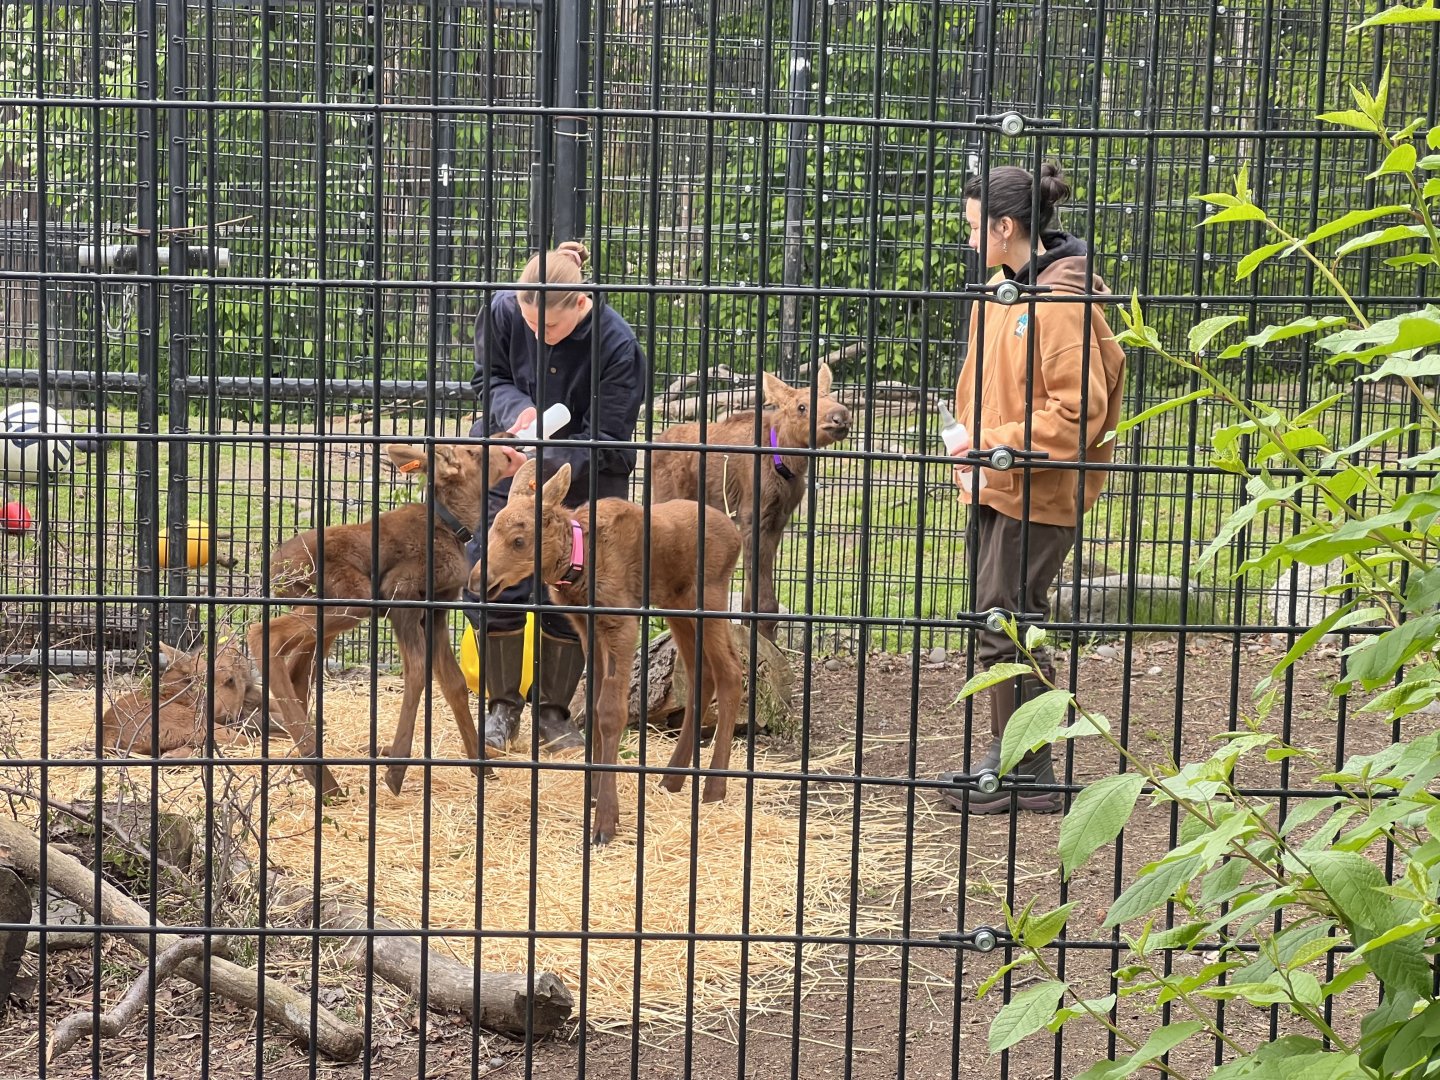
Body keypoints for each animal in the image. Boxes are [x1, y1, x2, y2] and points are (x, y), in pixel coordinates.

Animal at [101, 638, 263, 757]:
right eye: (197, 682)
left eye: (230, 679)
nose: (222, 717)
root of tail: (109, 736)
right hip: (192, 723)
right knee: (246, 740)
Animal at [248, 442, 513, 798]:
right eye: (474, 453)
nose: (508, 448)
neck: (454, 527)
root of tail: (275, 567)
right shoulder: (401, 595)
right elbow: (417, 672)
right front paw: (396, 769)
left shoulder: (438, 610)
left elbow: (453, 682)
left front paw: (482, 767)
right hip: (350, 600)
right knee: (263, 634)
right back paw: (325, 779)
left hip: (323, 610)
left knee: (297, 672)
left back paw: (306, 767)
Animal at [475, 457, 744, 846]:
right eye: (490, 532)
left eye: (519, 540)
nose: (478, 580)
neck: (578, 566)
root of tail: (737, 537)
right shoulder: (588, 628)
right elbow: (593, 704)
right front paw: (591, 792)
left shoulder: (622, 623)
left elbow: (610, 712)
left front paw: (605, 820)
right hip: (678, 606)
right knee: (701, 676)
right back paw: (673, 777)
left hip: (709, 598)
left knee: (730, 673)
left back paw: (714, 787)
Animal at [650, 363, 851, 642]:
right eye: (801, 407)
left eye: (831, 397)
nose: (840, 416)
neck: (788, 464)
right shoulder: (753, 516)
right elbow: (764, 595)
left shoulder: (779, 518)